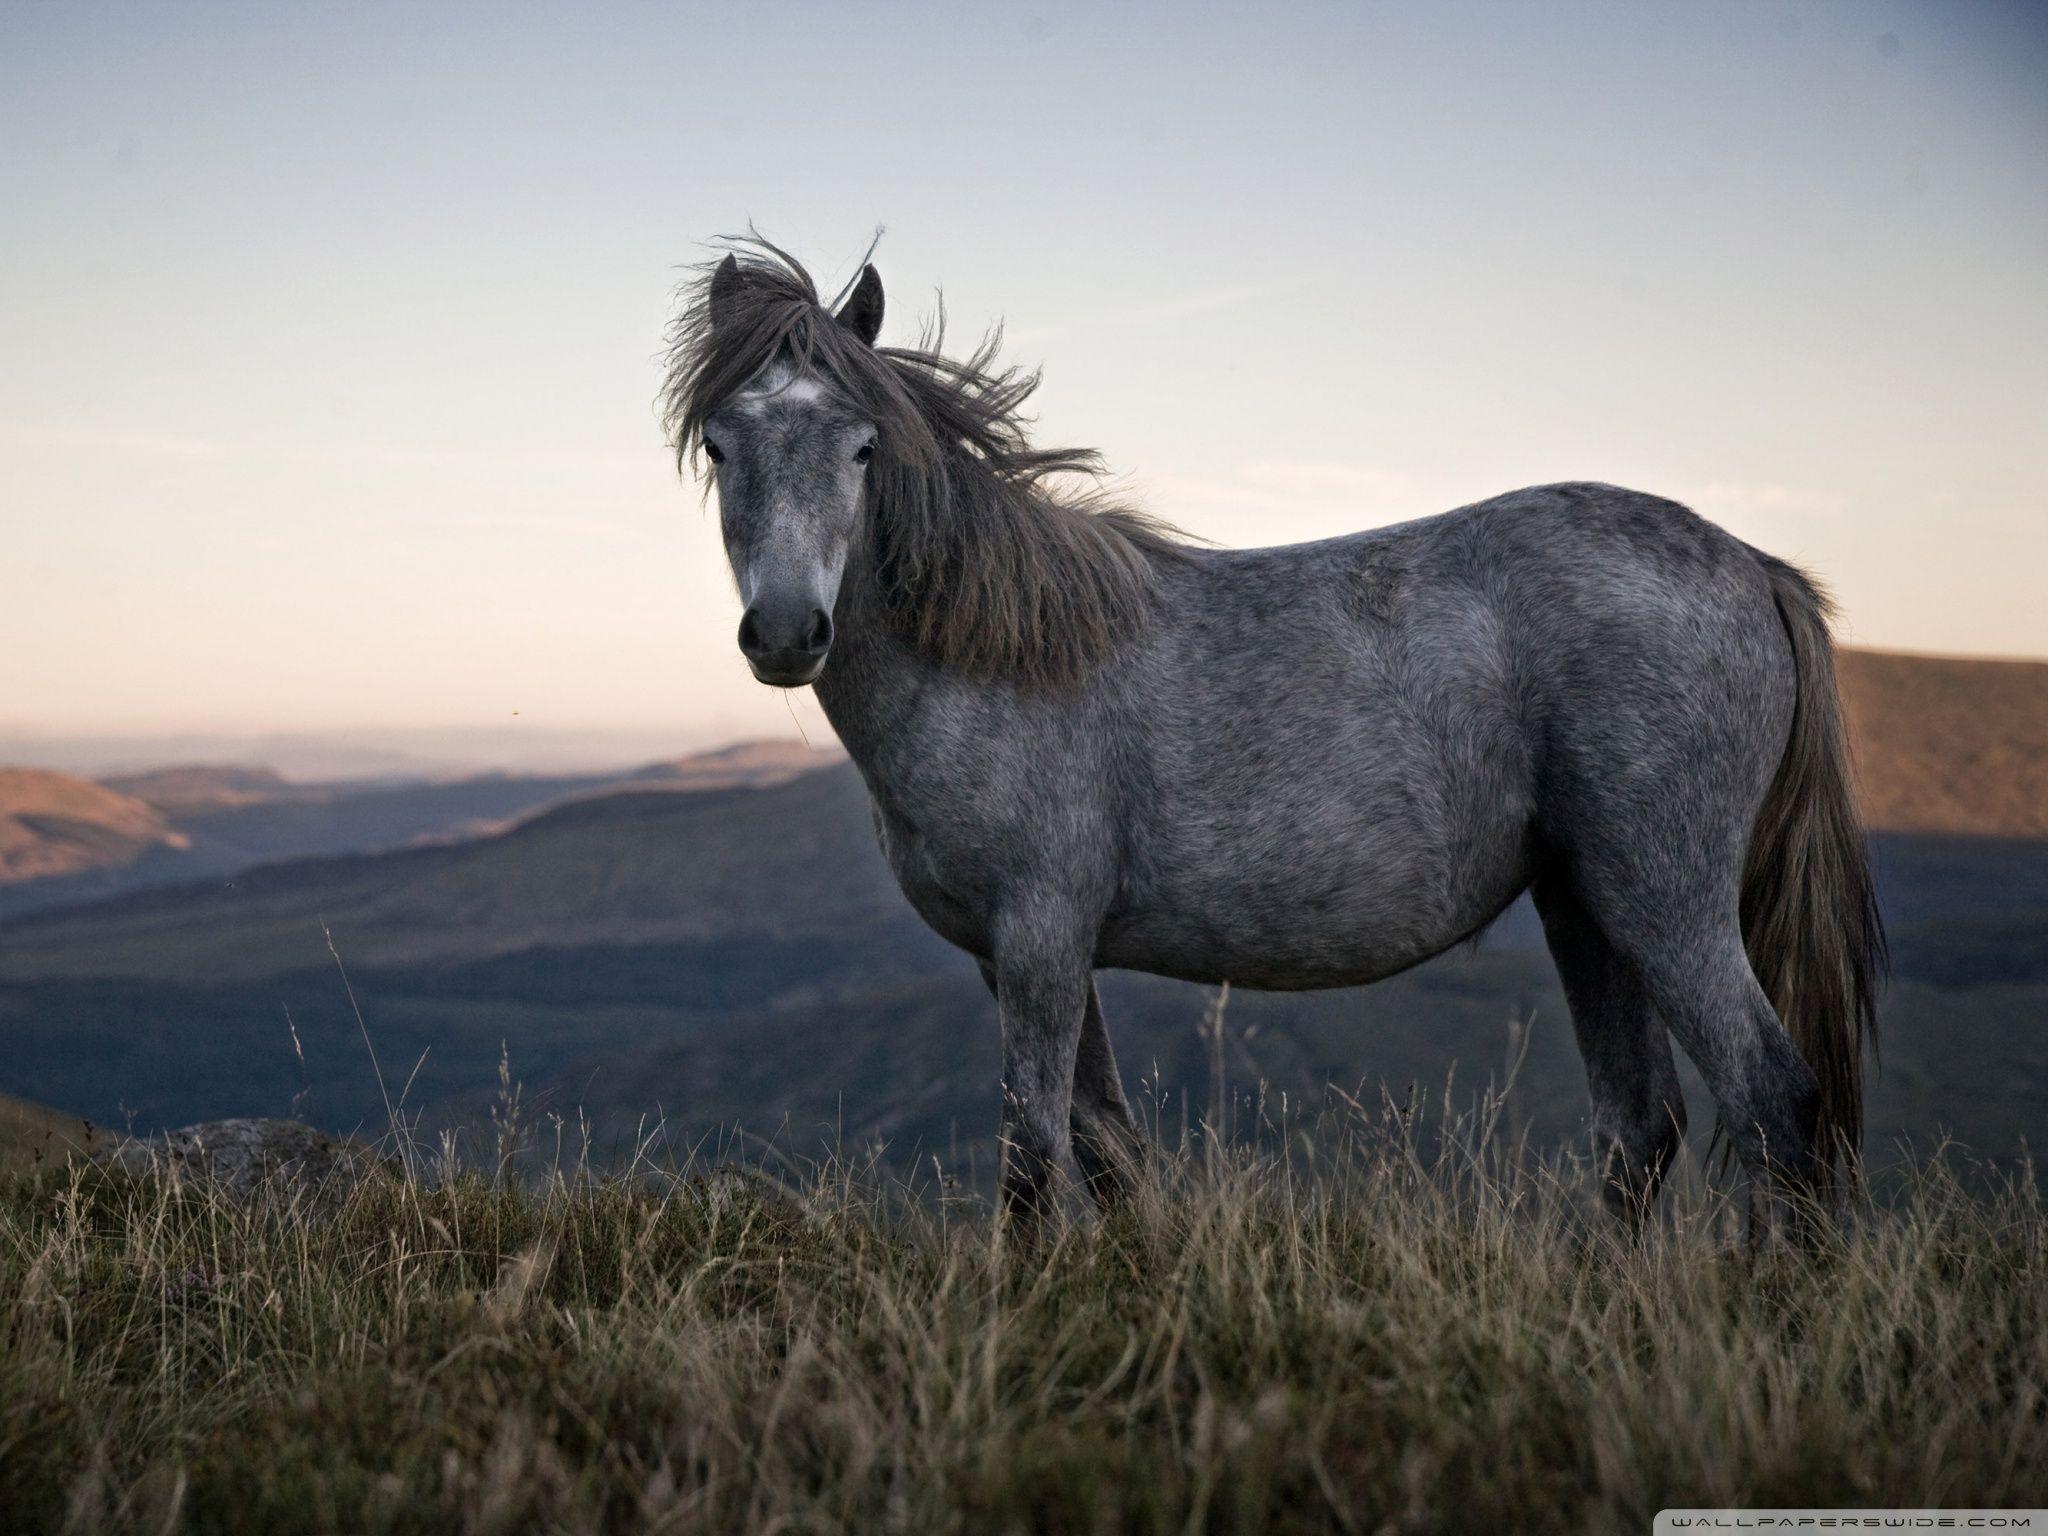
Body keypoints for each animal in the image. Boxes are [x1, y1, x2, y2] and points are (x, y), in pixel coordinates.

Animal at [662, 240, 1883, 1234]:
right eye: (720, 445)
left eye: (862, 446)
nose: (786, 631)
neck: (1000, 657)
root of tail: (1753, 567)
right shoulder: (1016, 955)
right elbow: (1107, 1153)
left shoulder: (1042, 937)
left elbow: (1033, 1163)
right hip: (1585, 904)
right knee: (1640, 1129)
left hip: (1663, 900)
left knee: (1773, 1101)